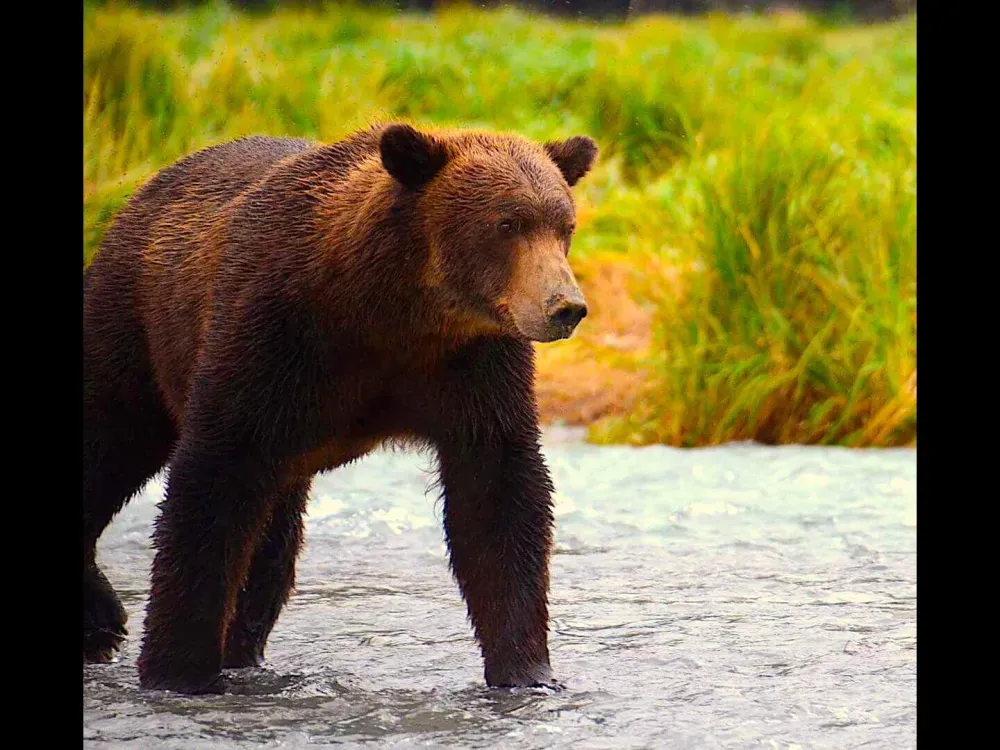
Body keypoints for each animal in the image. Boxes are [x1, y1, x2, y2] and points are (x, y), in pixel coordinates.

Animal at [83, 122, 598, 695]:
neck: (391, 309)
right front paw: (177, 670)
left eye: (565, 226)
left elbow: (498, 498)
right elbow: (213, 484)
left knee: (272, 540)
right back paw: (104, 621)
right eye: (506, 223)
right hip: (136, 330)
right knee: (109, 442)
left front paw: (528, 671)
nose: (565, 307)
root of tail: (140, 193)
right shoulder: (273, 336)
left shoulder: (471, 367)